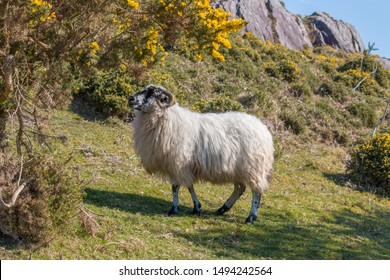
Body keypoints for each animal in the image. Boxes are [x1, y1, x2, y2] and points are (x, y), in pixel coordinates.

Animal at [129, 84, 274, 224]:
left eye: (152, 92)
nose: (130, 99)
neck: (167, 118)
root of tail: (263, 128)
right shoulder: (178, 166)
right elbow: (185, 186)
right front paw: (195, 207)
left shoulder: (180, 163)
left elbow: (177, 187)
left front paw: (176, 209)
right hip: (239, 169)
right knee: (240, 188)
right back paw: (222, 208)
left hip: (254, 167)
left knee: (256, 191)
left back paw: (251, 217)